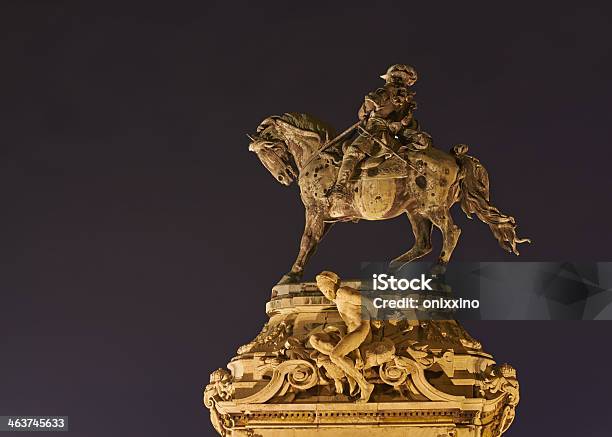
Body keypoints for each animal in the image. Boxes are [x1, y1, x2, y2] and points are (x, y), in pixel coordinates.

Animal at [249, 110, 532, 284]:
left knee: (452, 232)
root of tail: (455, 157)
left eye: (268, 150)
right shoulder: (328, 218)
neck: (319, 154)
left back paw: (436, 270)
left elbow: (306, 241)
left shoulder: (316, 211)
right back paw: (392, 271)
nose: (284, 177)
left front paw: (290, 276)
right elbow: (313, 243)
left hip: (432, 207)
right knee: (423, 243)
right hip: (416, 211)